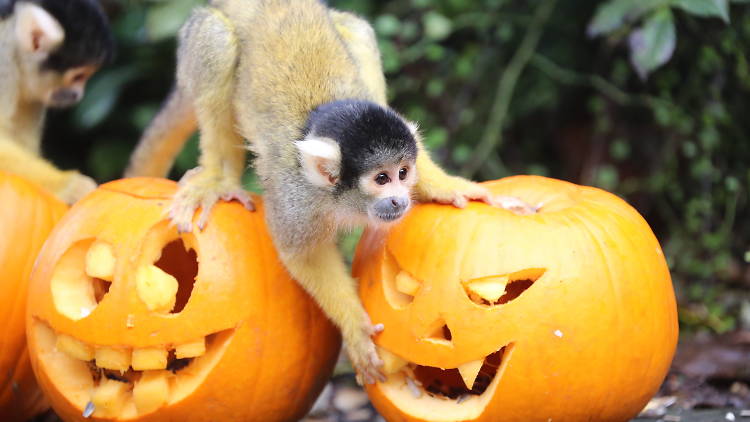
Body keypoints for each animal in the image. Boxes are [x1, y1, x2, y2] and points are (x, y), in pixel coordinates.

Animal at [125, 0, 536, 384]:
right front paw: (354, 328)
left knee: (356, 30)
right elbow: (302, 254)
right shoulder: (293, 198)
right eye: (382, 179)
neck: (337, 198)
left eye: (403, 173)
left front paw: (450, 187)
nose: (401, 199)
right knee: (216, 36)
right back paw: (218, 175)